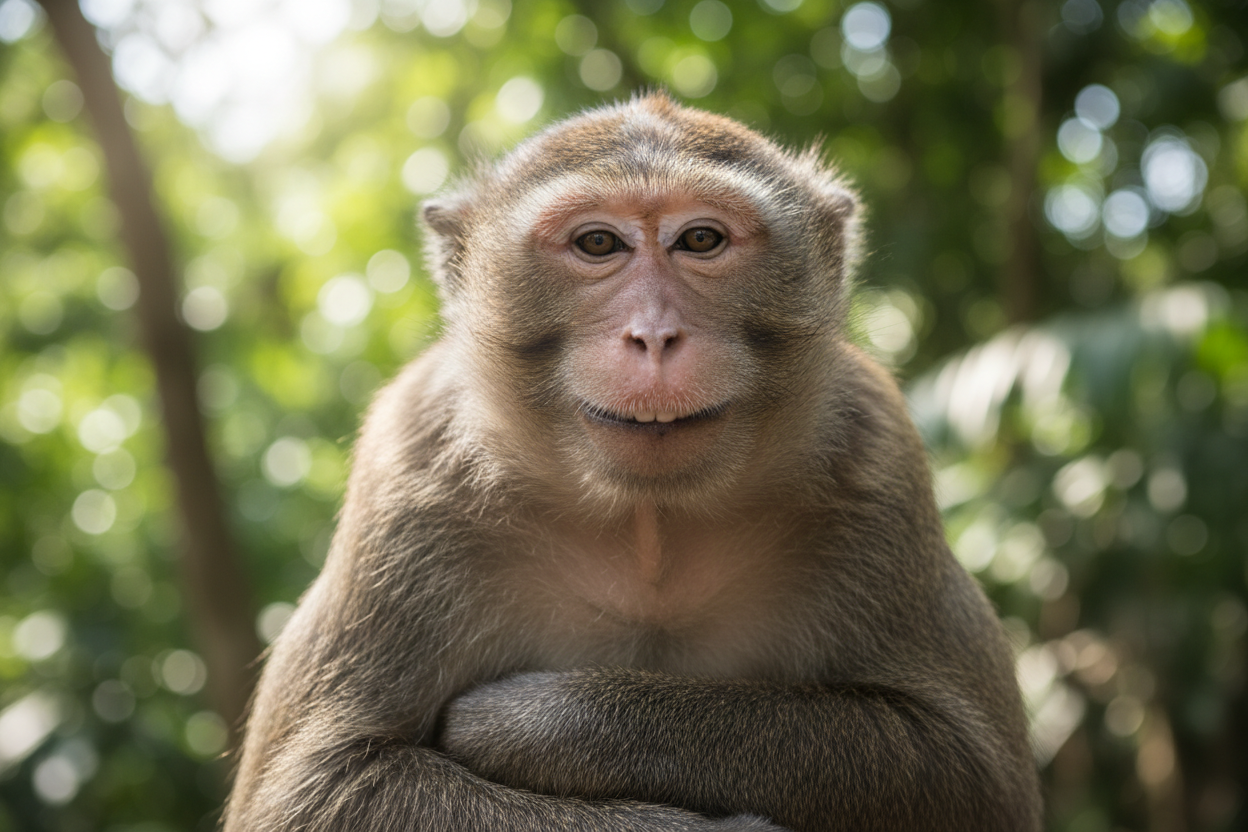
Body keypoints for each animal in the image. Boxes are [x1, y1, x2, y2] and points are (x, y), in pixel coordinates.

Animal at [223, 93, 1042, 832]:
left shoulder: (878, 458)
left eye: (701, 240)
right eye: (598, 245)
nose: (653, 335)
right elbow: (320, 789)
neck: (650, 525)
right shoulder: (411, 465)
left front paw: (543, 720)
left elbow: (968, 769)